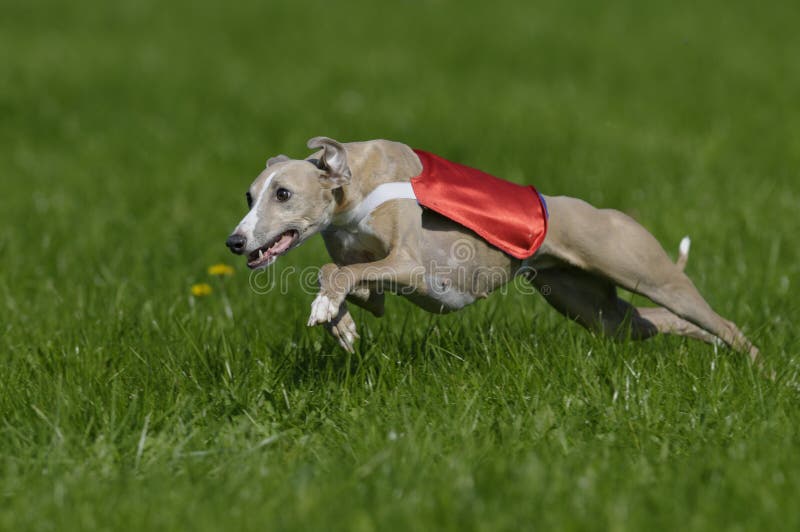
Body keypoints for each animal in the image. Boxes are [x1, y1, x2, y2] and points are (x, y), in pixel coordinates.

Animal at [223, 135, 756, 364]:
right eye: (249, 196)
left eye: (283, 193)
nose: (235, 241)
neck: (351, 183)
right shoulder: (371, 279)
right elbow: (337, 275)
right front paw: (340, 324)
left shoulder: (413, 267)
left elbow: (337, 272)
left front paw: (329, 313)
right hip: (594, 309)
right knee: (659, 323)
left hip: (645, 270)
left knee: (721, 321)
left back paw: (761, 372)